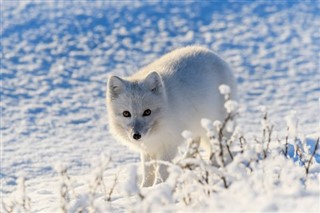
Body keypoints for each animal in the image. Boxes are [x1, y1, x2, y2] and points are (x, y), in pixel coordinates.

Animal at [107, 45, 238, 186]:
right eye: (126, 113)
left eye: (147, 112)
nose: (136, 135)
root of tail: (212, 53)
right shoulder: (148, 148)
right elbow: (148, 171)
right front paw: (144, 188)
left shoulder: (168, 144)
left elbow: (161, 170)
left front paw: (158, 187)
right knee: (195, 141)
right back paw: (186, 162)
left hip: (215, 123)